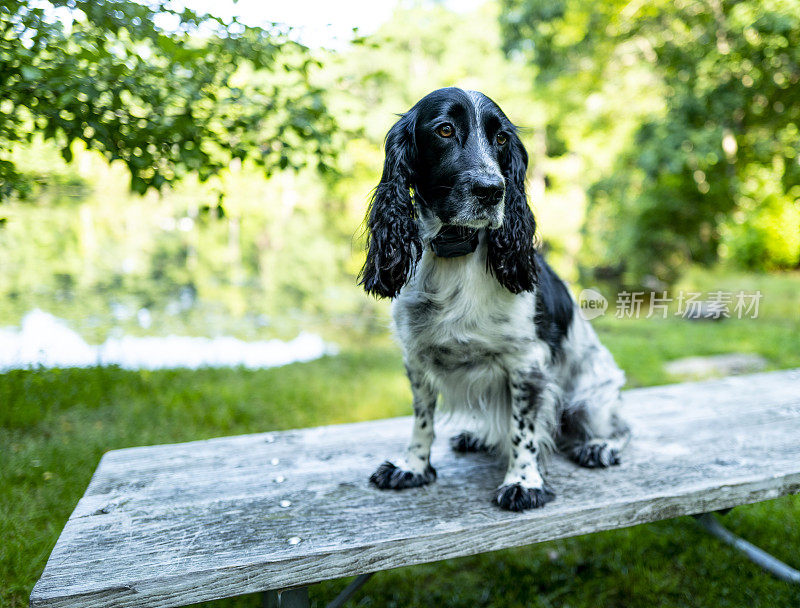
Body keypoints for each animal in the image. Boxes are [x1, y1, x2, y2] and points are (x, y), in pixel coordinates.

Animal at [360, 88, 628, 510]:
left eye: (501, 138)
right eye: (445, 129)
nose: (492, 190)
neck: (455, 254)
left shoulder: (527, 363)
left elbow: (523, 430)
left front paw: (523, 482)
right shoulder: (416, 360)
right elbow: (422, 421)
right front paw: (413, 467)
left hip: (594, 394)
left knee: (618, 426)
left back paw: (600, 445)